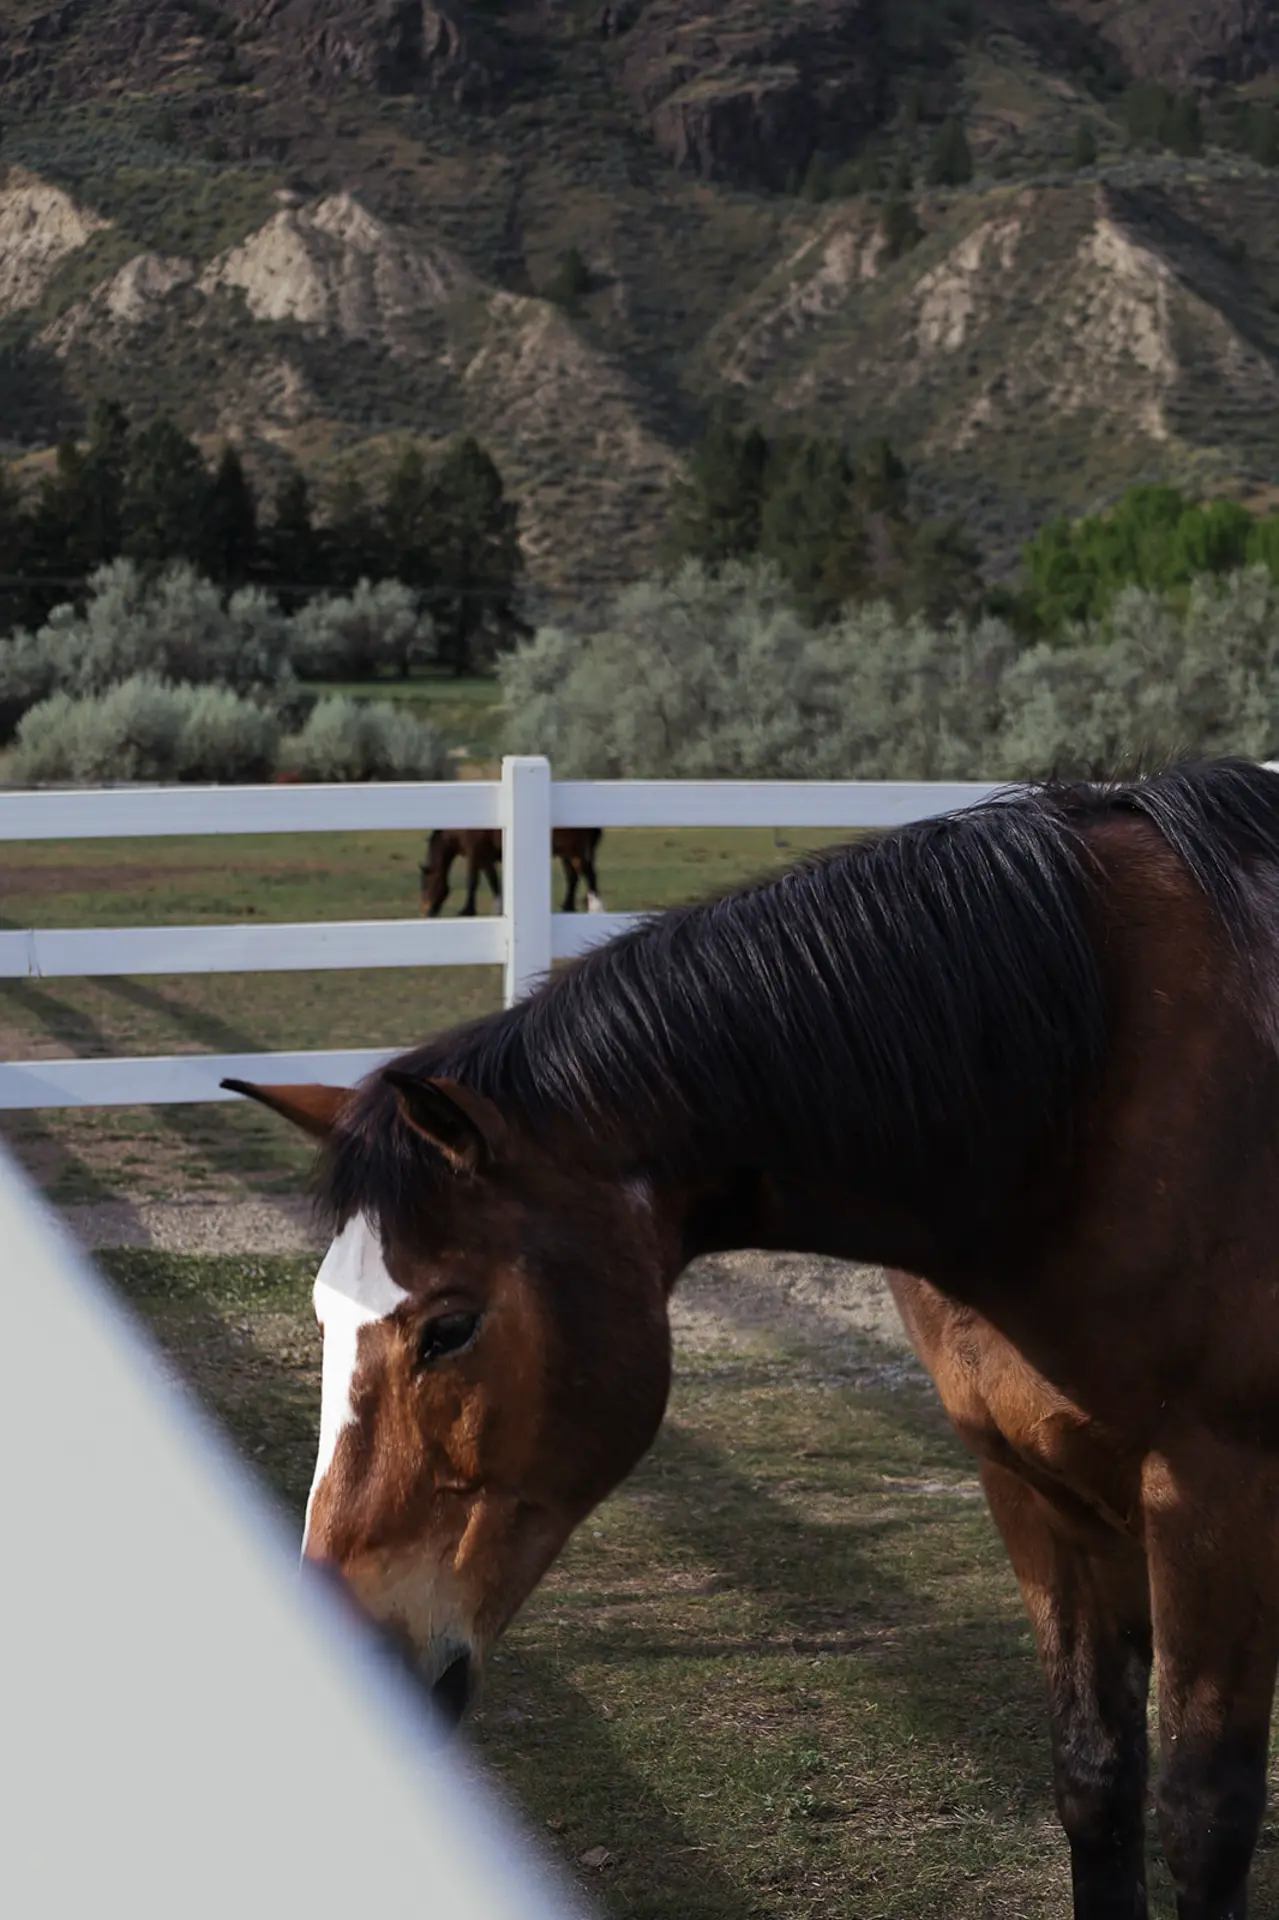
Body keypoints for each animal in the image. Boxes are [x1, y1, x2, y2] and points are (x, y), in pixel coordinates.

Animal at [419, 827, 604, 918]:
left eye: (427, 884)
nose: (426, 912)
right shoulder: (486, 860)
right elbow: (494, 883)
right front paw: (499, 909)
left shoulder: (474, 856)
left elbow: (472, 882)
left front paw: (467, 910)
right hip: (566, 855)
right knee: (573, 878)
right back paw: (568, 906)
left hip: (575, 853)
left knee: (589, 874)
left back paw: (596, 907)